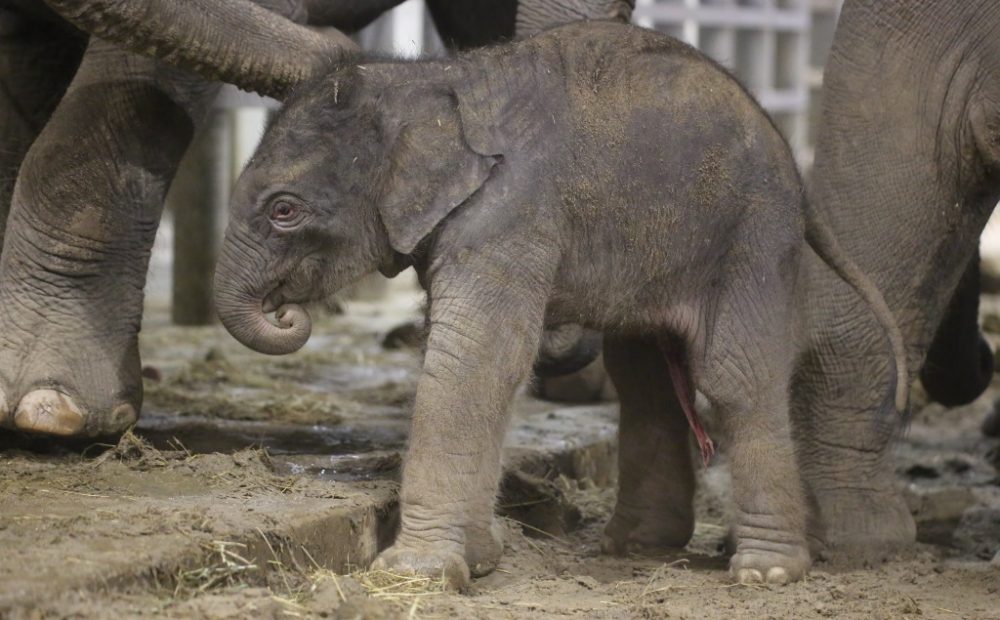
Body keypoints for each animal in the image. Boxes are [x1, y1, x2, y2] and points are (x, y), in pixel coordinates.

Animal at [211, 19, 908, 588]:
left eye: (284, 210)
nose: (286, 312)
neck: (430, 79)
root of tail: (792, 159)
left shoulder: (511, 213)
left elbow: (478, 358)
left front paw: (415, 575)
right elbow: (473, 357)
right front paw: (480, 560)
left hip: (753, 236)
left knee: (735, 377)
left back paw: (766, 573)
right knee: (646, 377)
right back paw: (635, 548)